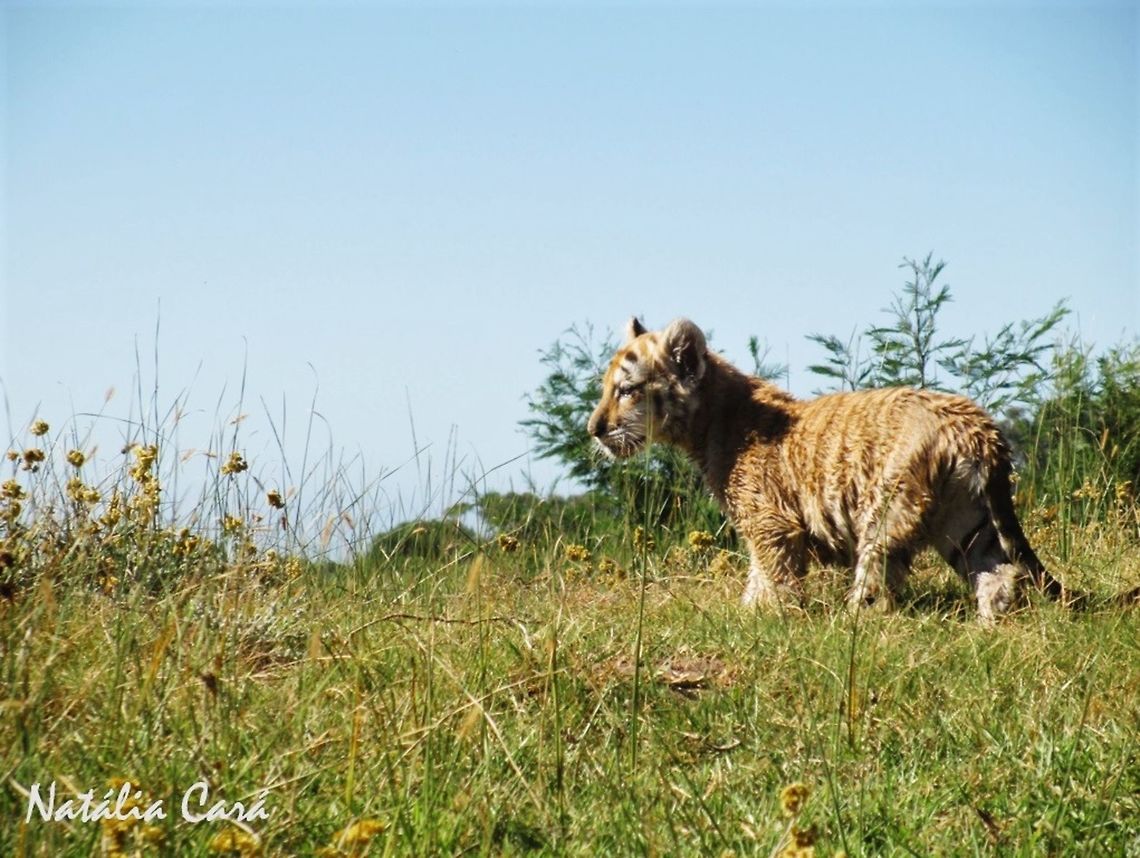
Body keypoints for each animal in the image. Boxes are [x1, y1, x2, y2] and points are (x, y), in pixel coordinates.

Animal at [587, 316, 1116, 621]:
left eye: (626, 390)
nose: (594, 429)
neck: (707, 421)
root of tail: (977, 425)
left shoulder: (771, 524)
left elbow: (771, 577)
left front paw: (766, 620)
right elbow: (759, 576)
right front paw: (751, 615)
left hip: (885, 513)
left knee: (876, 589)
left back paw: (849, 628)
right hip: (969, 523)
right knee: (999, 576)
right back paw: (987, 632)